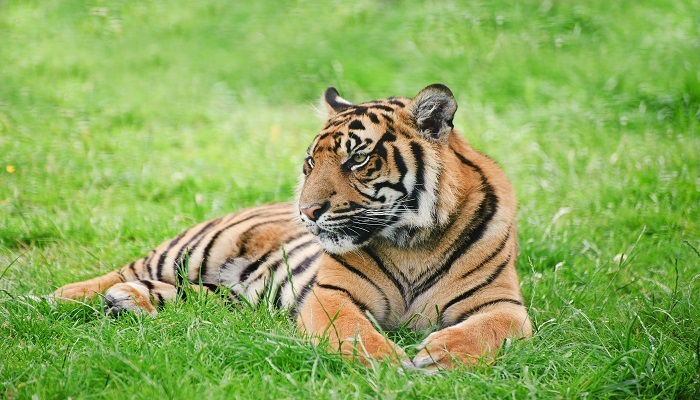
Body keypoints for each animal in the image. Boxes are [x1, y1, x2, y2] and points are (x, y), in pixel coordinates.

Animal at [54, 84, 532, 369]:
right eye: (310, 163)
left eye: (357, 158)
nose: (306, 211)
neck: (412, 241)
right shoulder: (331, 295)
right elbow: (355, 331)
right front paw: (389, 364)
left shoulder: (503, 305)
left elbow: (488, 330)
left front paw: (438, 356)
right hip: (199, 246)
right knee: (127, 269)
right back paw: (63, 297)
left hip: (240, 296)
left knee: (201, 297)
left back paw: (128, 301)